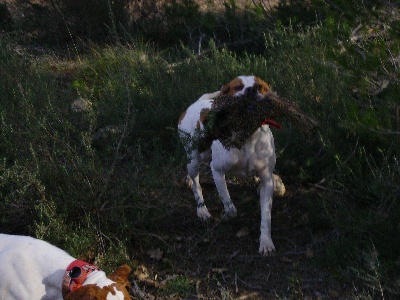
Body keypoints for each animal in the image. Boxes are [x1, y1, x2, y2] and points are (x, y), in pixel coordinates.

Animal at [178, 75, 284, 255]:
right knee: (197, 184)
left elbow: (266, 216)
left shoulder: (266, 179)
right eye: (237, 87)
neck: (247, 136)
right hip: (194, 159)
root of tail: (196, 103)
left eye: (259, 86)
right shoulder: (217, 170)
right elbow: (229, 205)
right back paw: (202, 210)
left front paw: (265, 241)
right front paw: (227, 215)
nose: (251, 90)